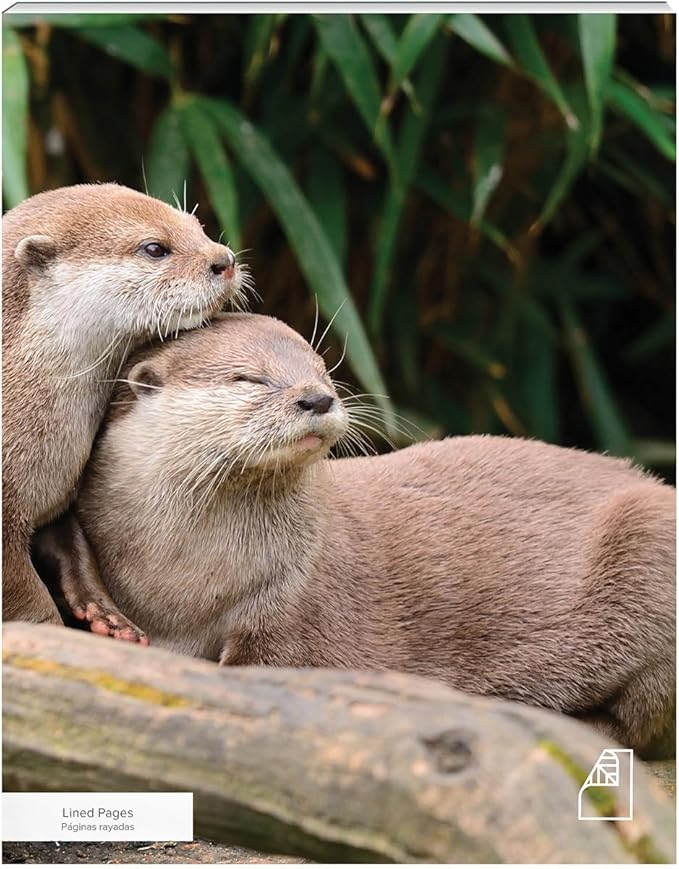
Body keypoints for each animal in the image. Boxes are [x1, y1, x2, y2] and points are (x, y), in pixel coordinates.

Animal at [3, 183, 244, 626]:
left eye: (197, 225)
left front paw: (108, 614)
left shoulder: (59, 496)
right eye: (154, 248)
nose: (225, 260)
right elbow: (26, 600)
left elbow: (75, 546)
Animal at [50, 314, 675, 757]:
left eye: (321, 368)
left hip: (649, 550)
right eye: (248, 378)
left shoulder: (298, 606)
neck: (187, 582)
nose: (317, 397)